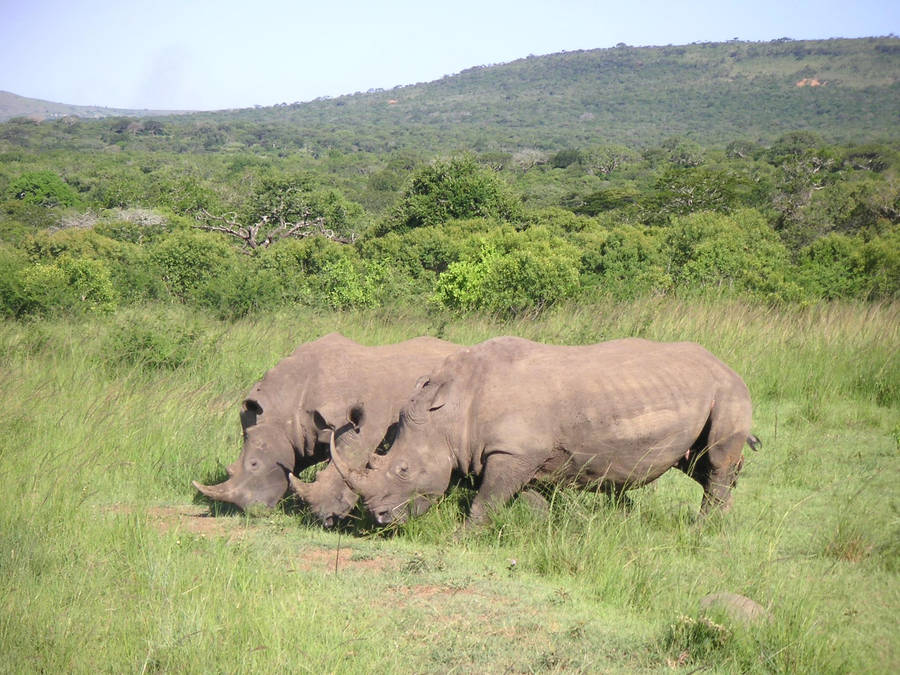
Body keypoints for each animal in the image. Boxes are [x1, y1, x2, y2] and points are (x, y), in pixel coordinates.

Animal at [331, 336, 760, 527]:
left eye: (403, 469)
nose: (379, 518)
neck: (450, 413)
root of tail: (727, 365)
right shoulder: (526, 456)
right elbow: (528, 500)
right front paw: (542, 530)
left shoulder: (512, 452)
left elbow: (485, 502)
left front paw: (461, 536)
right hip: (703, 391)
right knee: (698, 463)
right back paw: (723, 521)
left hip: (728, 391)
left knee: (716, 460)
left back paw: (704, 529)